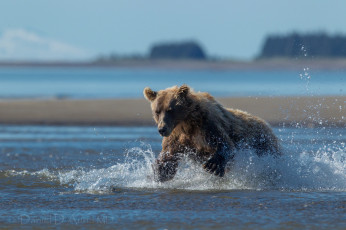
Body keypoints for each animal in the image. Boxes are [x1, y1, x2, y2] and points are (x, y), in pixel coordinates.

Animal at [143, 84, 282, 181]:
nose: (162, 129)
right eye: (157, 111)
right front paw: (159, 172)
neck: (186, 124)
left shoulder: (208, 126)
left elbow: (225, 144)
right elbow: (169, 154)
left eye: (170, 110)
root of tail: (267, 126)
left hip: (262, 145)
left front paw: (212, 165)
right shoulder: (177, 136)